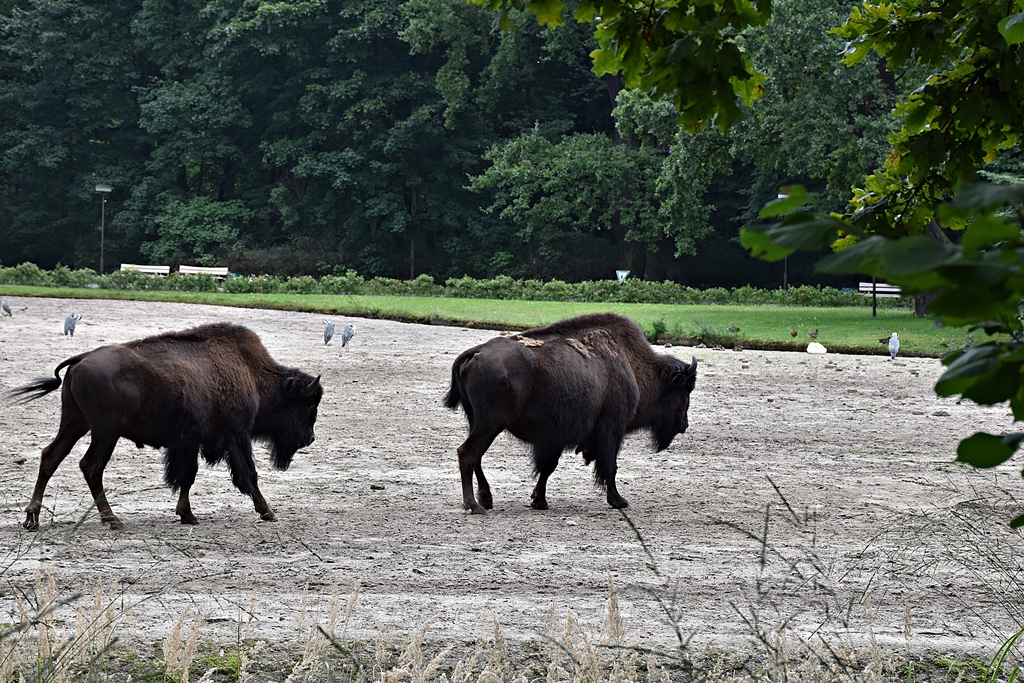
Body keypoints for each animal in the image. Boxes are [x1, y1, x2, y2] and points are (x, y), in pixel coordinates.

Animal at [10, 323, 323, 530]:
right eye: (308, 407)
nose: (309, 438)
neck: (252, 374)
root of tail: (81, 358)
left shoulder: (190, 442)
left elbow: (187, 476)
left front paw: (188, 515)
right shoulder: (237, 436)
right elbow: (248, 474)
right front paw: (267, 511)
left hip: (75, 423)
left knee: (51, 457)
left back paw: (32, 518)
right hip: (105, 432)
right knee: (91, 466)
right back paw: (112, 519)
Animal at [443, 313, 697, 513]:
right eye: (685, 390)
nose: (683, 425)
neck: (631, 365)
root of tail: (476, 352)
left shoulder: (553, 438)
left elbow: (547, 467)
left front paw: (539, 501)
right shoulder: (611, 429)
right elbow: (610, 466)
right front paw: (618, 500)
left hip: (477, 421)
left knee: (475, 456)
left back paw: (485, 499)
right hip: (490, 423)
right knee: (467, 453)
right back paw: (474, 506)